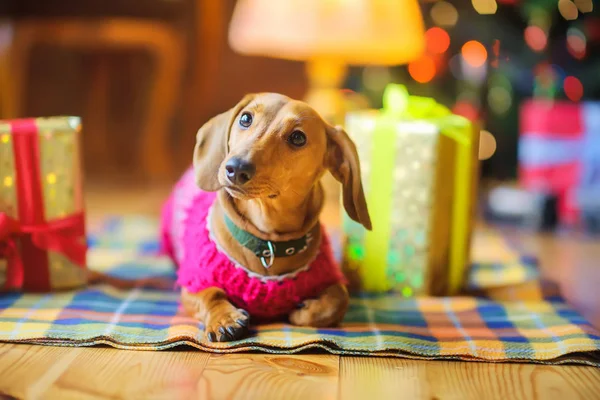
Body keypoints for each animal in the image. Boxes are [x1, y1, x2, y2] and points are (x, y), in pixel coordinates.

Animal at [162, 93, 372, 340]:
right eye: (245, 118)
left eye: (298, 137)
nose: (235, 168)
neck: (268, 243)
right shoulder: (193, 282)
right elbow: (210, 294)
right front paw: (225, 319)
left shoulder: (328, 277)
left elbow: (339, 299)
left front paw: (304, 310)